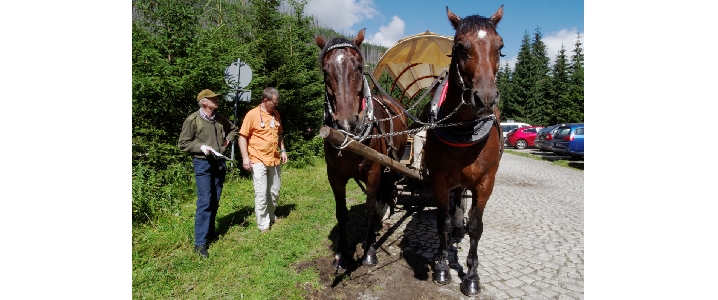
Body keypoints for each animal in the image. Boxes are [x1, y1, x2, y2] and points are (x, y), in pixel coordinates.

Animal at [316, 29, 410, 268]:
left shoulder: (374, 171)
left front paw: (369, 250)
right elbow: (341, 213)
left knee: (388, 185)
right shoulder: (334, 175)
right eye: (325, 70)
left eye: (359, 67)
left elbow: (368, 208)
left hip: (393, 161)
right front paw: (341, 253)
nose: (347, 122)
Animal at [428, 5, 506, 296]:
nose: (485, 98)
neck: (463, 129)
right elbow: (443, 221)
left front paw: (472, 275)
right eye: (460, 47)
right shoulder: (438, 179)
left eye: (500, 47)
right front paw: (441, 266)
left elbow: (476, 226)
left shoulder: (485, 182)